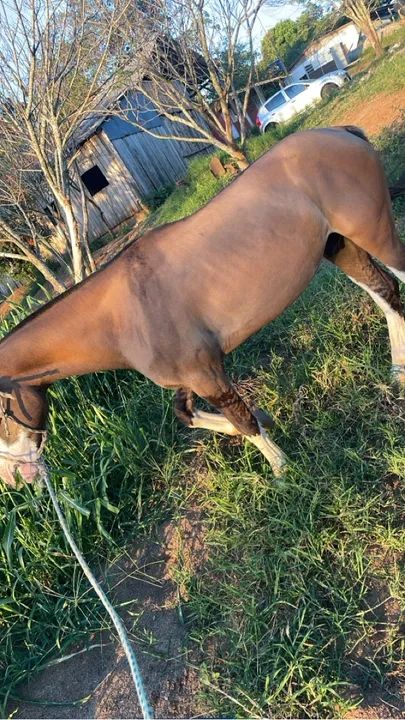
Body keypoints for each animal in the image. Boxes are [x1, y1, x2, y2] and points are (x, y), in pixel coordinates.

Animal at [0, 126, 404, 487]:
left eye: (1, 410)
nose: (15, 478)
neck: (124, 314)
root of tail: (339, 132)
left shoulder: (206, 374)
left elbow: (242, 420)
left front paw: (283, 473)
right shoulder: (192, 377)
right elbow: (191, 414)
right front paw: (266, 419)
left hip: (375, 235)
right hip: (340, 246)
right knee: (386, 294)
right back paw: (397, 373)